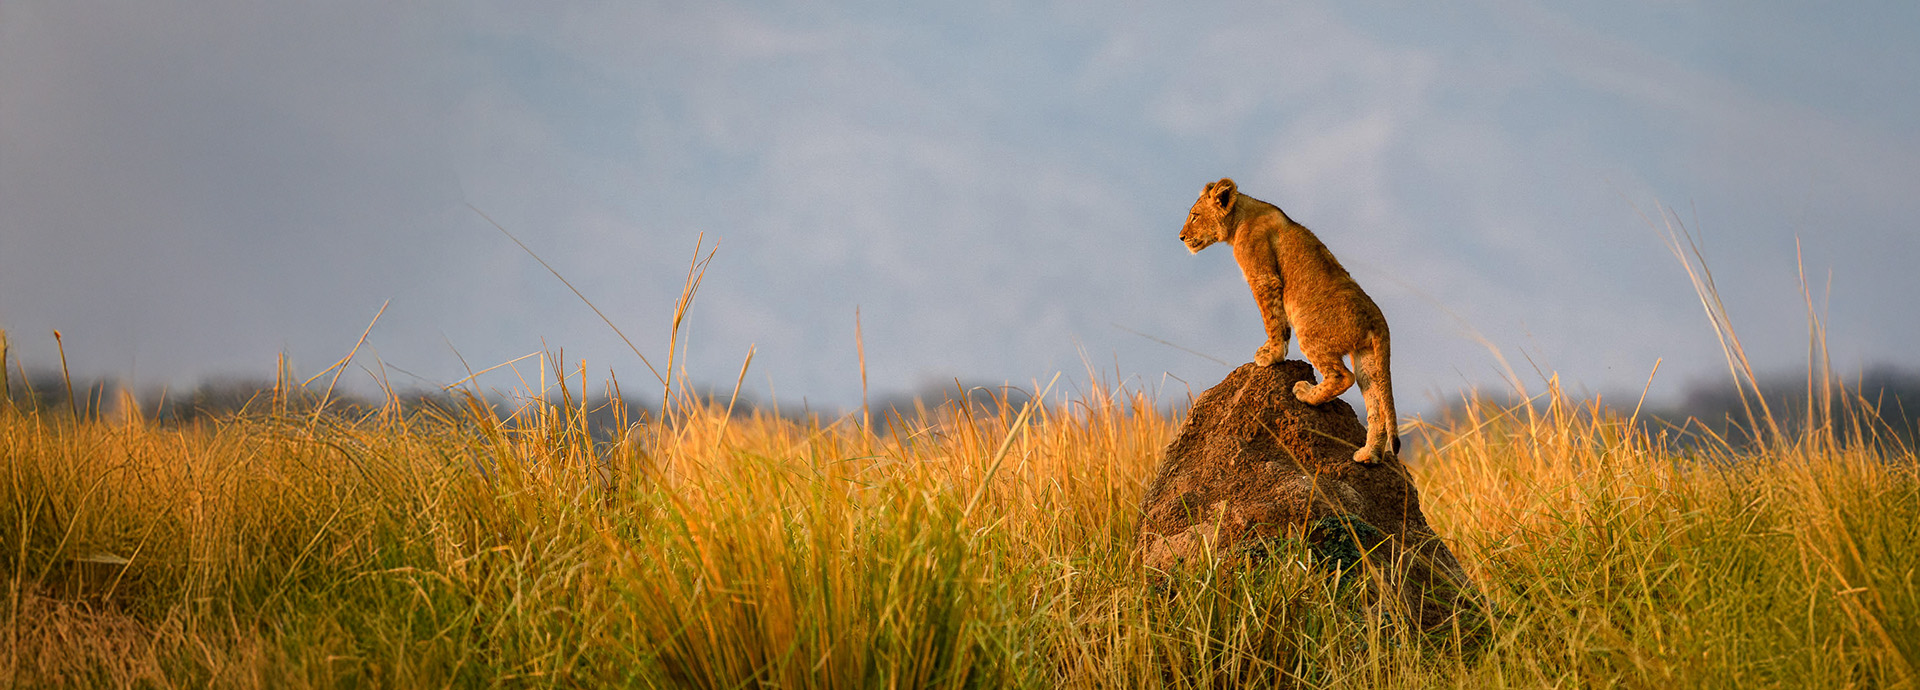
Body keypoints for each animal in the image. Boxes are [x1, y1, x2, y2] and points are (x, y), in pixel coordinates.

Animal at [1180, 177, 1399, 464]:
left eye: (1194, 215)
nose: (1181, 237)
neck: (1242, 214)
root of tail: (1377, 319)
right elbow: (1278, 322)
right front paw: (1270, 351)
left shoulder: (1263, 276)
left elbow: (1273, 319)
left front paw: (1271, 356)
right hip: (1367, 358)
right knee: (1376, 405)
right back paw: (1368, 455)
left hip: (1309, 330)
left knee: (1342, 377)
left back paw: (1305, 393)